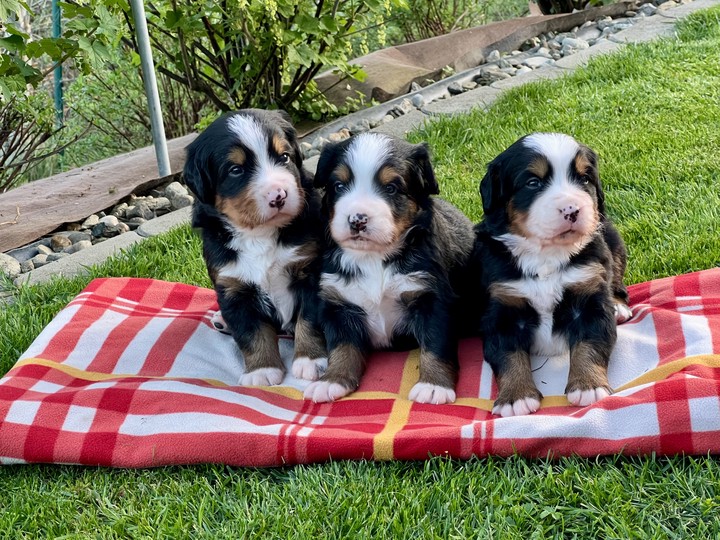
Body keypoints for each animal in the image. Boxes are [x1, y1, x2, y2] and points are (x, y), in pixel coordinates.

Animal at [183, 109, 327, 386]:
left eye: (284, 157)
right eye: (235, 170)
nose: (279, 195)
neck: (259, 234)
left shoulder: (310, 271)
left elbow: (310, 319)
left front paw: (311, 360)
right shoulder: (233, 287)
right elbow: (251, 333)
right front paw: (262, 370)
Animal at [304, 132, 475, 404]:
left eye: (391, 188)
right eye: (339, 186)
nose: (357, 219)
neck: (374, 257)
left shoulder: (432, 299)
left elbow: (435, 345)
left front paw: (433, 386)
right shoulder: (338, 304)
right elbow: (342, 347)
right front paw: (332, 381)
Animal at [472, 133, 632, 417]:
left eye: (585, 179)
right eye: (533, 183)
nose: (572, 209)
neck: (546, 253)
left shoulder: (589, 296)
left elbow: (590, 343)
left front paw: (588, 386)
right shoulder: (502, 307)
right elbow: (509, 355)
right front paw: (516, 397)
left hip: (613, 241)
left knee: (617, 280)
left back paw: (619, 306)